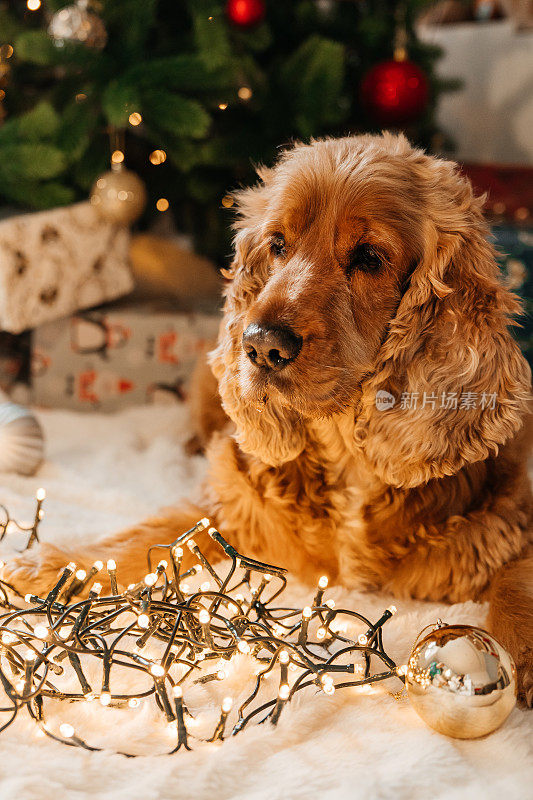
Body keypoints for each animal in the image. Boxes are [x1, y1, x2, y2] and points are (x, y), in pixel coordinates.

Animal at [5, 134, 532, 704]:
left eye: (370, 257)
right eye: (277, 244)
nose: (260, 345)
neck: (346, 454)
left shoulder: (504, 522)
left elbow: (516, 580)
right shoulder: (229, 508)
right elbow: (148, 538)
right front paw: (48, 566)